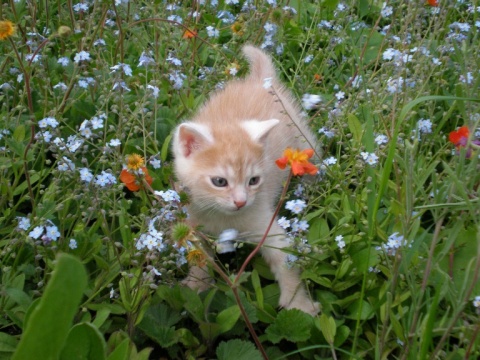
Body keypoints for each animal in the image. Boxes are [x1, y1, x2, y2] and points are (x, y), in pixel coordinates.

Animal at [172, 44, 318, 316]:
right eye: (220, 182)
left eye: (253, 181)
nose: (241, 202)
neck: (222, 218)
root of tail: (259, 79)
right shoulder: (191, 222)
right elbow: (199, 255)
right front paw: (197, 286)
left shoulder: (266, 226)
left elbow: (286, 262)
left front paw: (299, 305)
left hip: (303, 139)